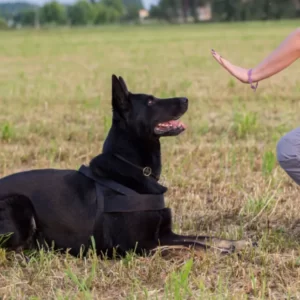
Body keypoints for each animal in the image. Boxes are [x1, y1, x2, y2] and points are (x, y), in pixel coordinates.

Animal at [0, 75, 251, 258]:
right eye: (150, 101)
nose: (186, 99)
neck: (134, 168)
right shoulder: (141, 245)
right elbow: (191, 245)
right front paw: (221, 252)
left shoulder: (165, 233)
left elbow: (202, 237)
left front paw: (237, 243)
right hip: (19, 204)